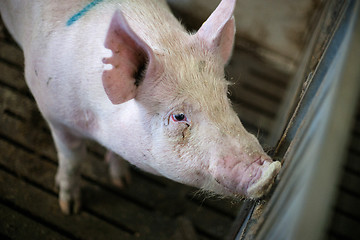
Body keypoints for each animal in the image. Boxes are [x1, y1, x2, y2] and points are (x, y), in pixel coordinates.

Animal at [0, 0, 282, 214]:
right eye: (178, 116)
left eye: (225, 95)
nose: (270, 171)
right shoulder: (55, 115)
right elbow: (72, 159)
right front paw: (70, 208)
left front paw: (121, 181)